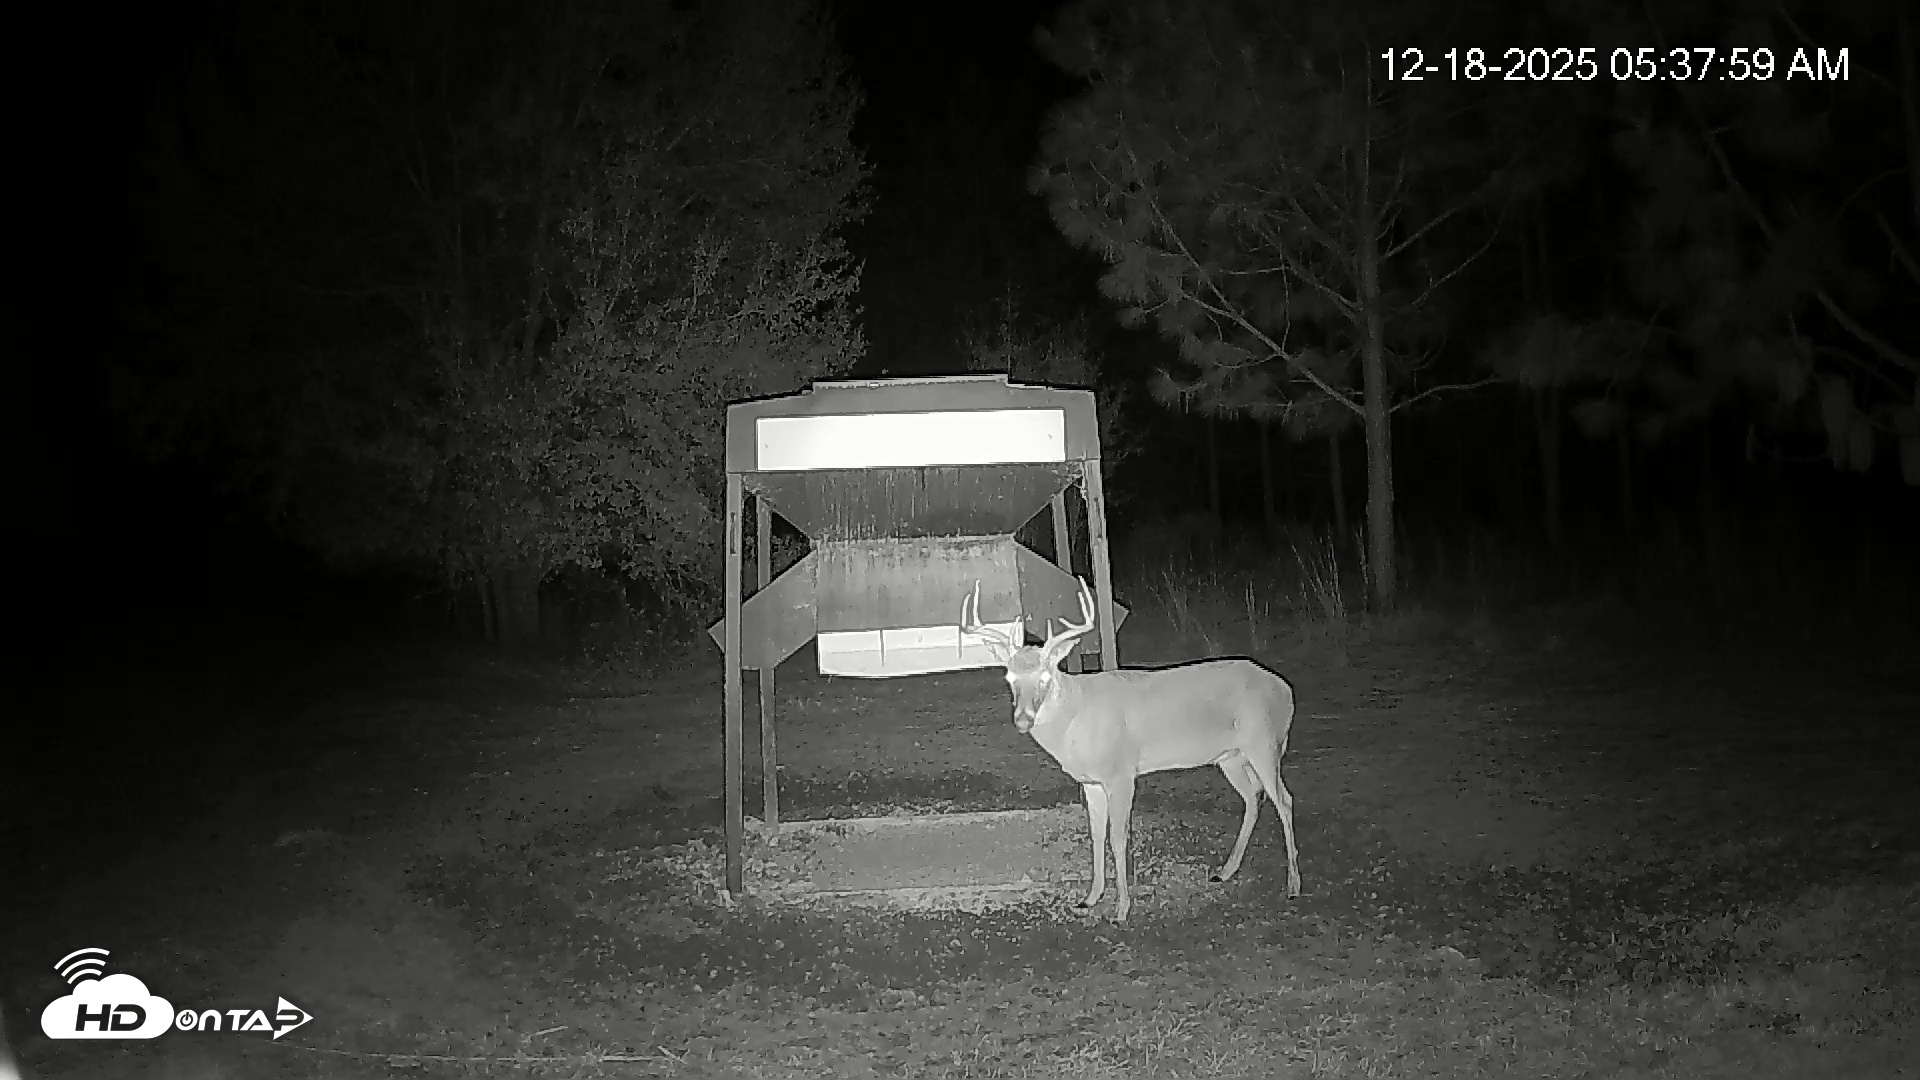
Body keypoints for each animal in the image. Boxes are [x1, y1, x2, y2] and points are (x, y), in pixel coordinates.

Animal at [961, 578, 1301, 923]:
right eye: (1009, 676)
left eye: (1045, 676)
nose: (1023, 719)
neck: (1076, 717)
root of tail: (1285, 690)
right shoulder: (1091, 781)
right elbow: (1096, 834)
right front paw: (1090, 897)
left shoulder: (1121, 773)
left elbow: (1118, 836)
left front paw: (1122, 908)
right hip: (1230, 756)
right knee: (1254, 795)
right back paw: (1226, 871)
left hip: (1264, 742)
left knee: (1284, 799)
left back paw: (1293, 886)